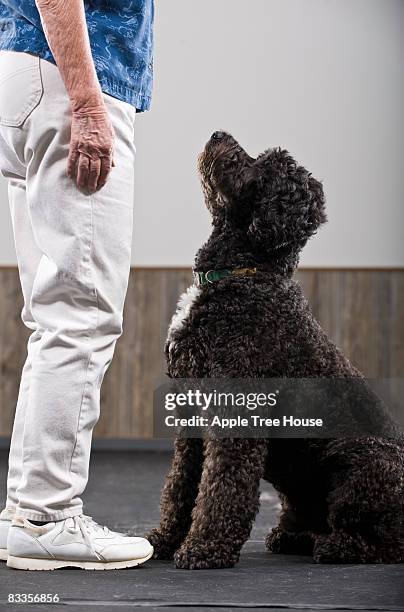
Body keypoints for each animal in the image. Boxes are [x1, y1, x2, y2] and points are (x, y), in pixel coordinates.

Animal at [147, 131, 402, 568]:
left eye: (261, 166)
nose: (218, 134)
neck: (243, 274)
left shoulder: (236, 413)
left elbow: (222, 487)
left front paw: (205, 547)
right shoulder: (189, 413)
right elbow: (181, 486)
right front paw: (166, 540)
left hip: (366, 463)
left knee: (388, 543)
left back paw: (336, 546)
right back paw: (297, 536)